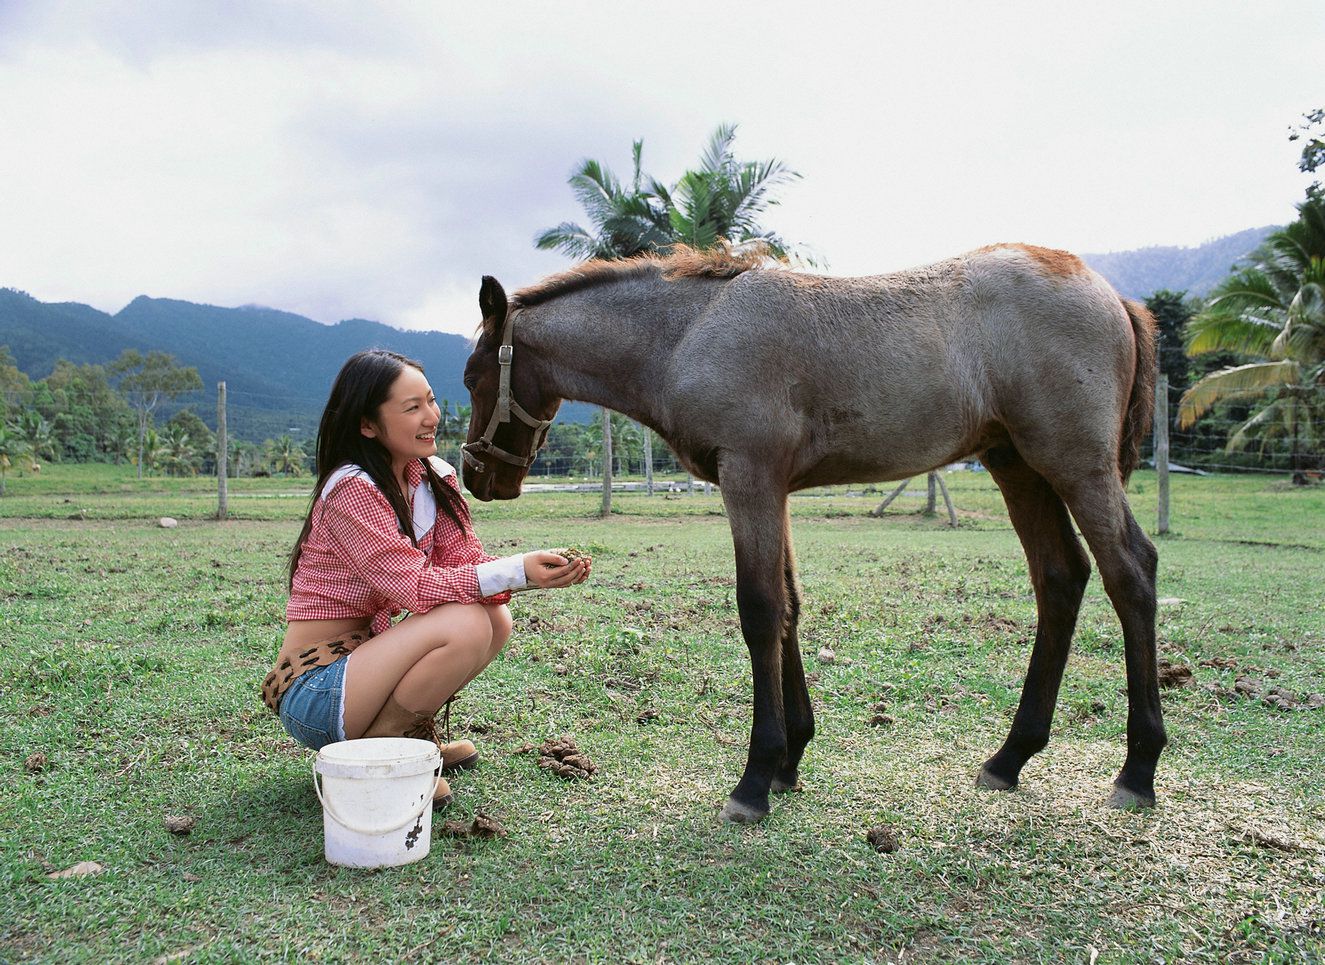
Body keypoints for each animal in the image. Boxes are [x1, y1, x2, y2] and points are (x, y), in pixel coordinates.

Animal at [461, 242, 1166, 821]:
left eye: (472, 378)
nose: (475, 476)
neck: (690, 332)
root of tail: (1112, 294)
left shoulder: (749, 477)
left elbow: (759, 610)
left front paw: (754, 779)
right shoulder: (773, 487)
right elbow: (790, 608)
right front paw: (790, 759)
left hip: (1075, 464)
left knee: (1131, 571)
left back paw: (1138, 769)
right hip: (1017, 465)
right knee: (1061, 578)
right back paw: (1011, 756)